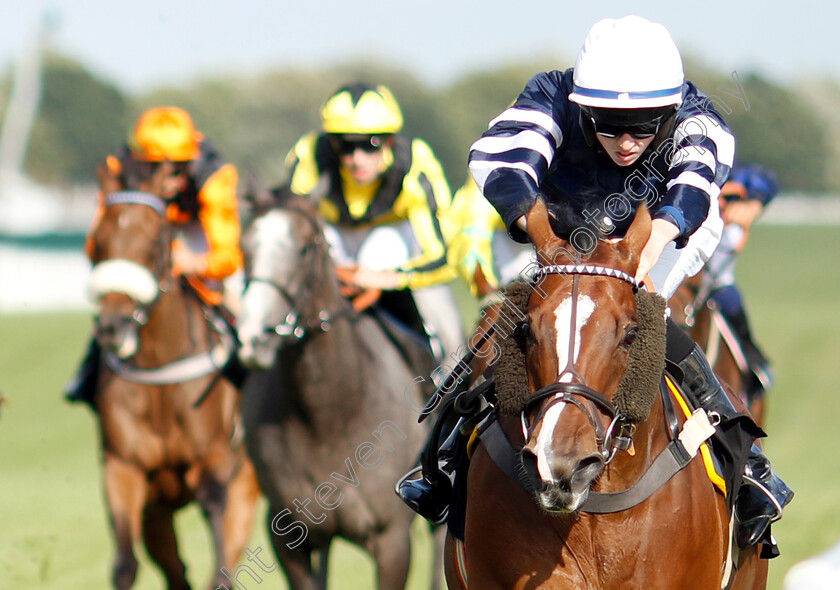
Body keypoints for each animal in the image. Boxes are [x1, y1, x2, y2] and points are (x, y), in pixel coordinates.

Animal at [87, 160, 260, 588]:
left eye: (155, 241)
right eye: (98, 242)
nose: (112, 328)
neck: (159, 371)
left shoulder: (215, 461)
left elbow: (220, 560)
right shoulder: (123, 468)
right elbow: (125, 566)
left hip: (247, 486)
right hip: (158, 511)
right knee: (175, 568)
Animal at [233, 186, 436, 590]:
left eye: (303, 248)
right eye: (245, 247)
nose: (252, 339)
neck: (329, 413)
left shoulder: (392, 540)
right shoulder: (288, 538)